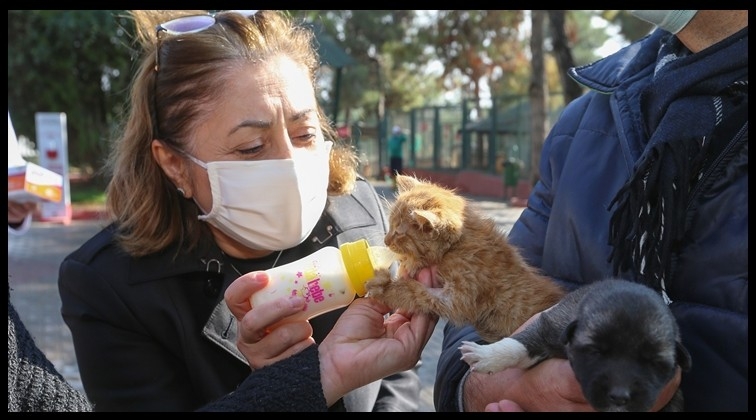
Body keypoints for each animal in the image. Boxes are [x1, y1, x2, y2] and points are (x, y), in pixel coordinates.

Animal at [364, 174, 564, 342]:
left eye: (398, 233)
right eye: (390, 225)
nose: (386, 240)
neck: (458, 245)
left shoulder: (460, 299)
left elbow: (417, 293)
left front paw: (386, 288)